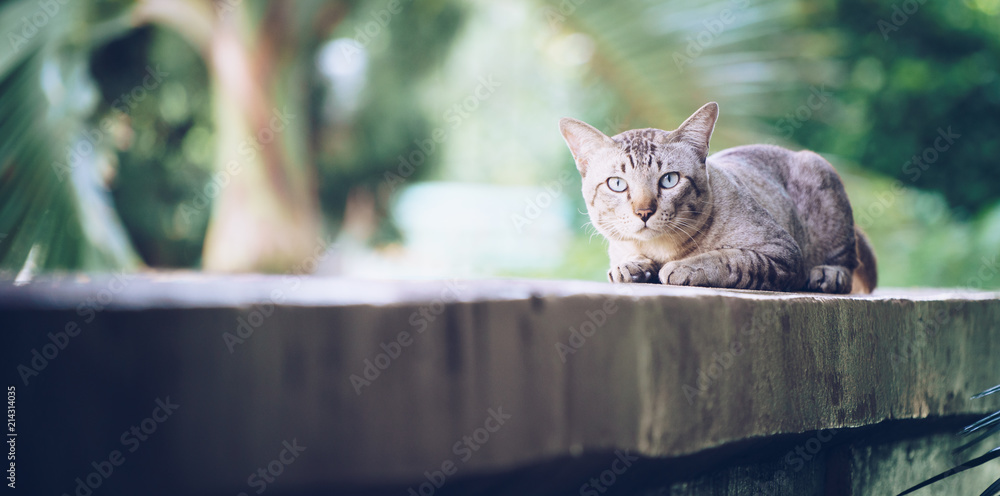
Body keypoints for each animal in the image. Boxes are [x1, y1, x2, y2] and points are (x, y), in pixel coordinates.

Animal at [560, 102, 880, 292]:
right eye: (617, 184)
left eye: (669, 180)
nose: (644, 212)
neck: (662, 251)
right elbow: (624, 262)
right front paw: (631, 267)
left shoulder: (783, 253)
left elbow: (731, 258)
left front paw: (683, 267)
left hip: (821, 176)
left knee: (847, 262)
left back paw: (827, 275)